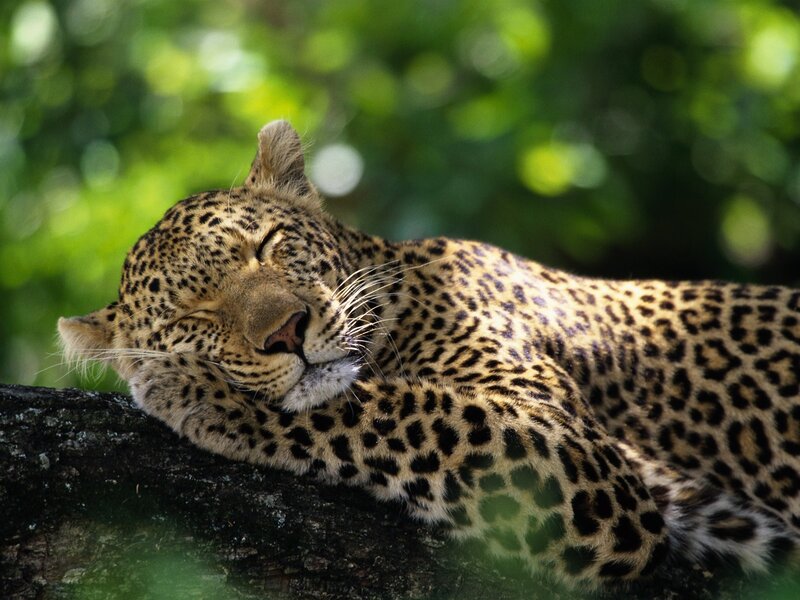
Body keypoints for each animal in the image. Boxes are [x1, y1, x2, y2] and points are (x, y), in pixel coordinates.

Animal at [58, 120, 800, 588]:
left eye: (266, 245)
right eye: (195, 315)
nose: (287, 332)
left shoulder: (574, 456)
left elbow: (394, 410)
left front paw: (190, 389)